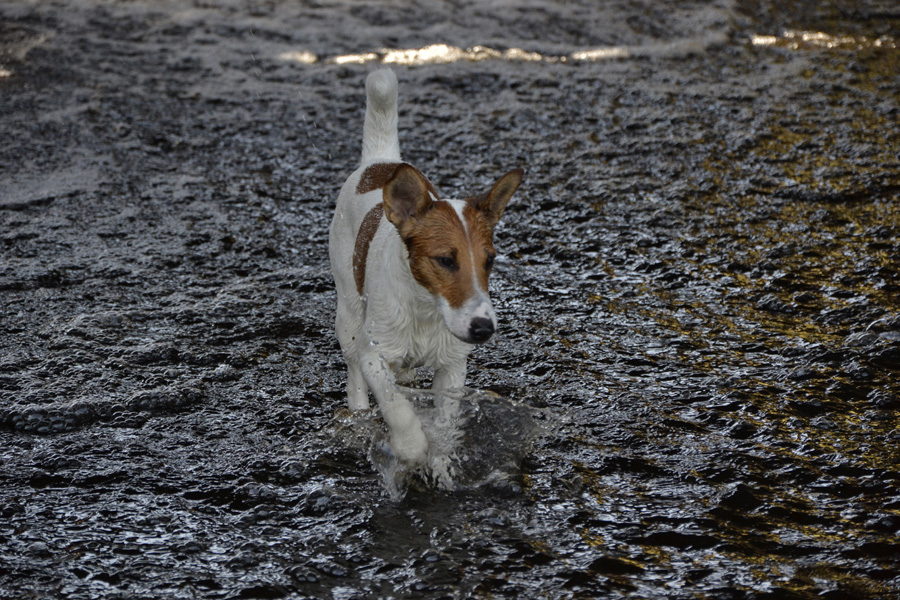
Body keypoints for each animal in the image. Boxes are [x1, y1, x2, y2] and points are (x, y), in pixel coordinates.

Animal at [328, 69, 524, 464]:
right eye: (445, 260)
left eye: (490, 260)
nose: (483, 328)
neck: (425, 309)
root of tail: (381, 161)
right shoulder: (374, 354)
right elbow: (395, 405)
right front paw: (411, 444)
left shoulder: (453, 366)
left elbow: (445, 421)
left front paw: (440, 449)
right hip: (349, 315)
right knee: (354, 375)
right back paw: (358, 413)